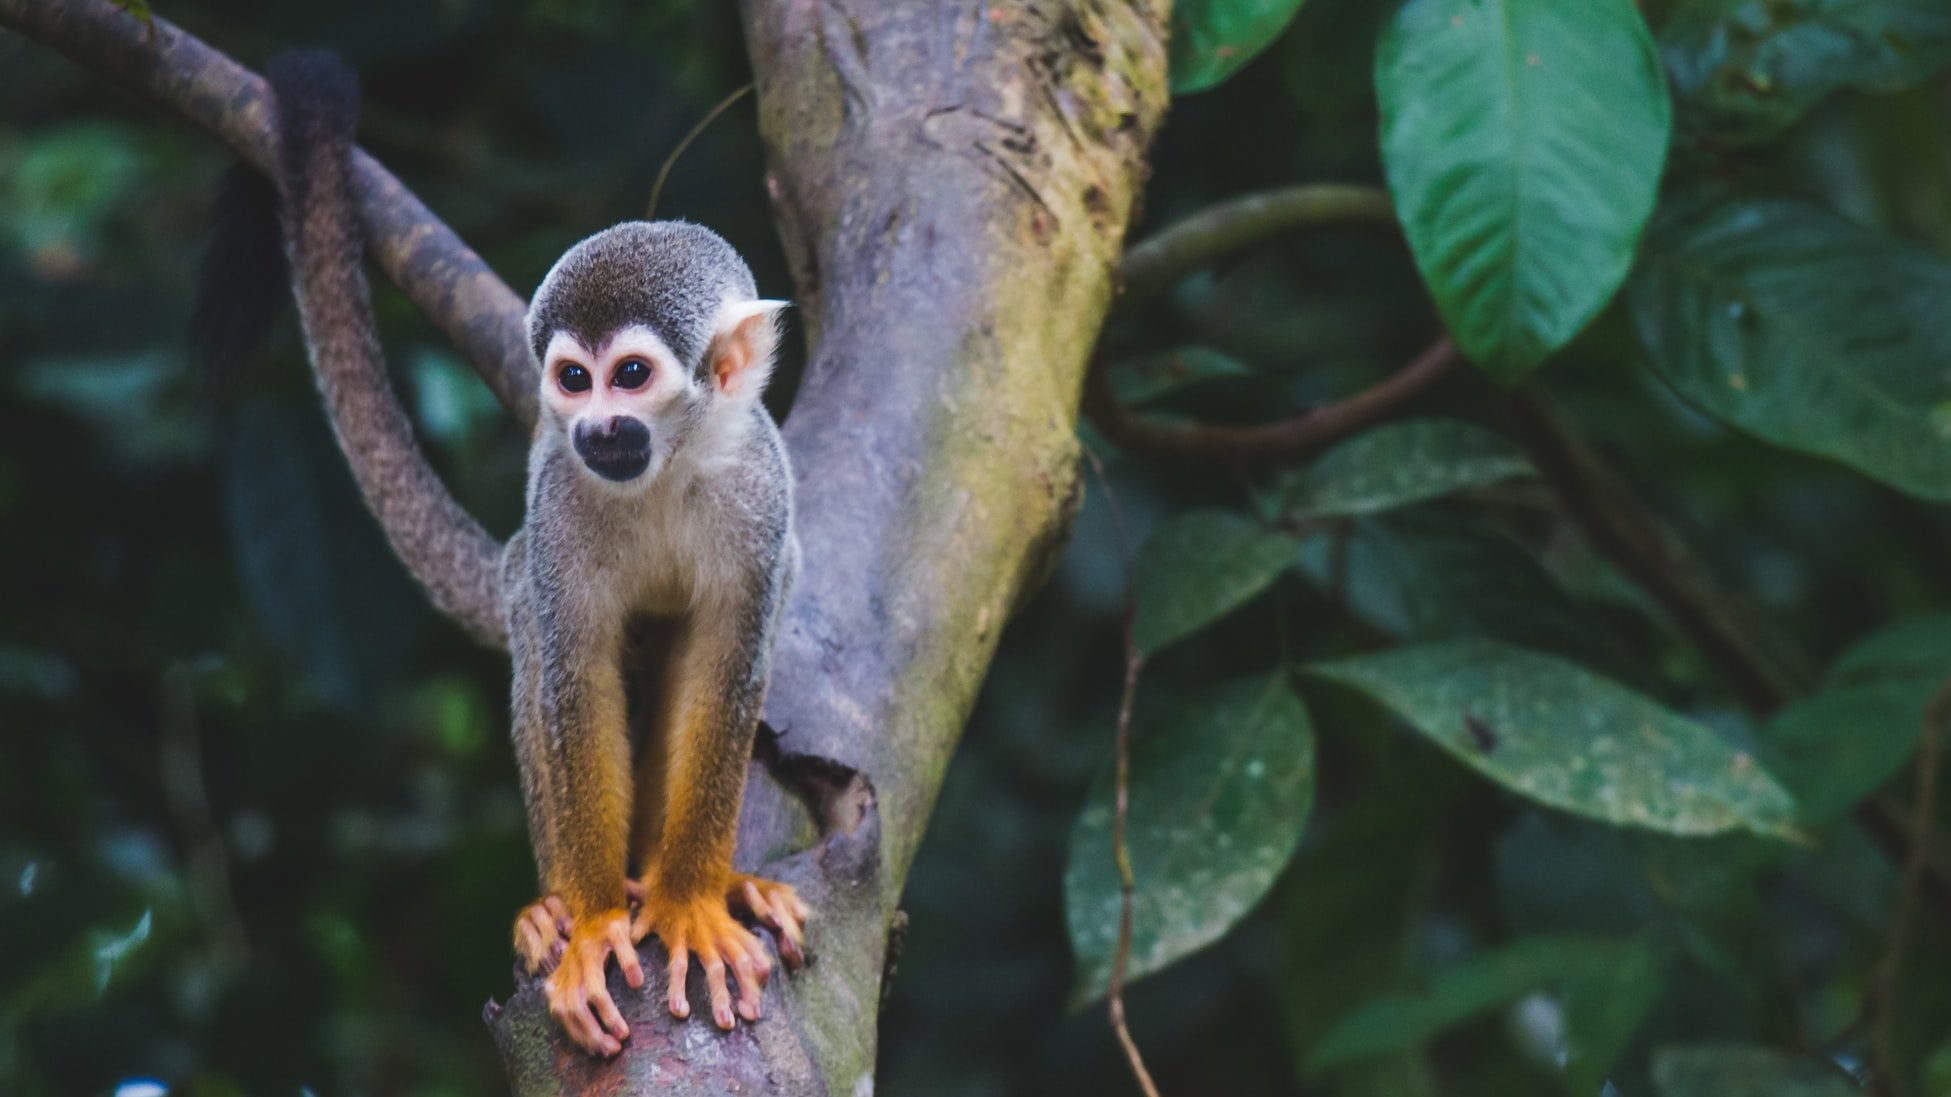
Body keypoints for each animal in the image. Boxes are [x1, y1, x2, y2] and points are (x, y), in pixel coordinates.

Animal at [234, 49, 807, 1054]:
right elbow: (573, 674)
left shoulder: (760, 494)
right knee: (539, 638)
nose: (596, 428)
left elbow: (728, 662)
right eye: (573, 380)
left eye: (630, 376)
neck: (666, 467)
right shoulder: (559, 502)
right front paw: (593, 923)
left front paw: (692, 900)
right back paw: (556, 910)